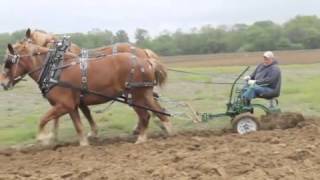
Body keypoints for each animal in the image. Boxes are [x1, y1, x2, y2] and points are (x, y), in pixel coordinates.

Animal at [0, 41, 172, 146]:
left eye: (8, 63)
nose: (2, 83)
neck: (54, 69)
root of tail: (146, 61)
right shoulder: (71, 106)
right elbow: (78, 125)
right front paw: (83, 143)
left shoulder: (64, 105)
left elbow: (43, 119)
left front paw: (44, 138)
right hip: (145, 94)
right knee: (160, 111)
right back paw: (167, 129)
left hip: (135, 97)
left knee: (145, 116)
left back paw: (141, 139)